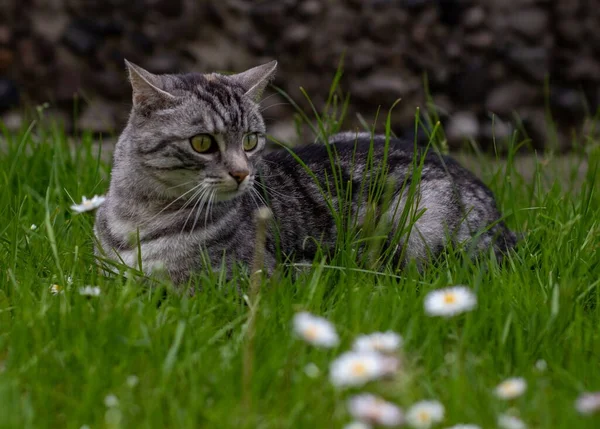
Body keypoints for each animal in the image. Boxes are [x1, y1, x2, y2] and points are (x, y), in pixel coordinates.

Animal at [94, 58, 516, 282]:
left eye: (251, 141)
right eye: (202, 143)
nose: (242, 173)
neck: (140, 215)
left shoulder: (235, 280)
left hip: (421, 230)